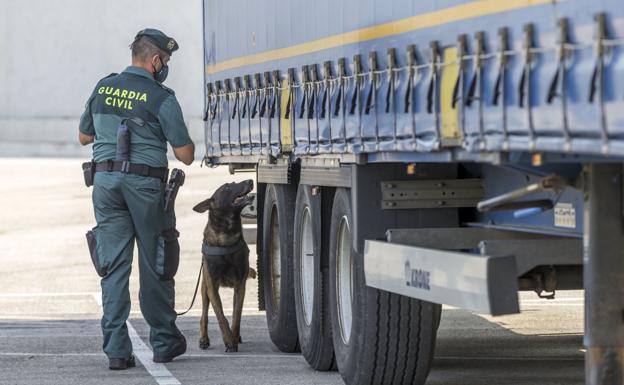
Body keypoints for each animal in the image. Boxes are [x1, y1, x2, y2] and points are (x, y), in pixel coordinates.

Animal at [193, 178, 256, 352]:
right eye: (227, 187)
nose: (250, 180)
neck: (226, 235)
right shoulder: (212, 287)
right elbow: (220, 316)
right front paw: (228, 340)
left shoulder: (240, 284)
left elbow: (236, 316)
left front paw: (233, 338)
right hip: (204, 288)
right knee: (204, 315)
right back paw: (203, 339)